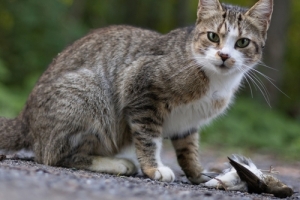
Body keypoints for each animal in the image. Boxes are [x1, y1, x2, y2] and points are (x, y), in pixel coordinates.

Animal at [0, 0, 272, 184]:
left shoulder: (188, 121)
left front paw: (198, 175)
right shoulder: (141, 90)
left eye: (242, 42)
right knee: (54, 156)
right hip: (89, 93)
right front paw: (154, 168)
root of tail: (25, 119)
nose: (224, 56)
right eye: (213, 36)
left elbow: (189, 149)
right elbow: (149, 138)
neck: (216, 80)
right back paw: (116, 163)